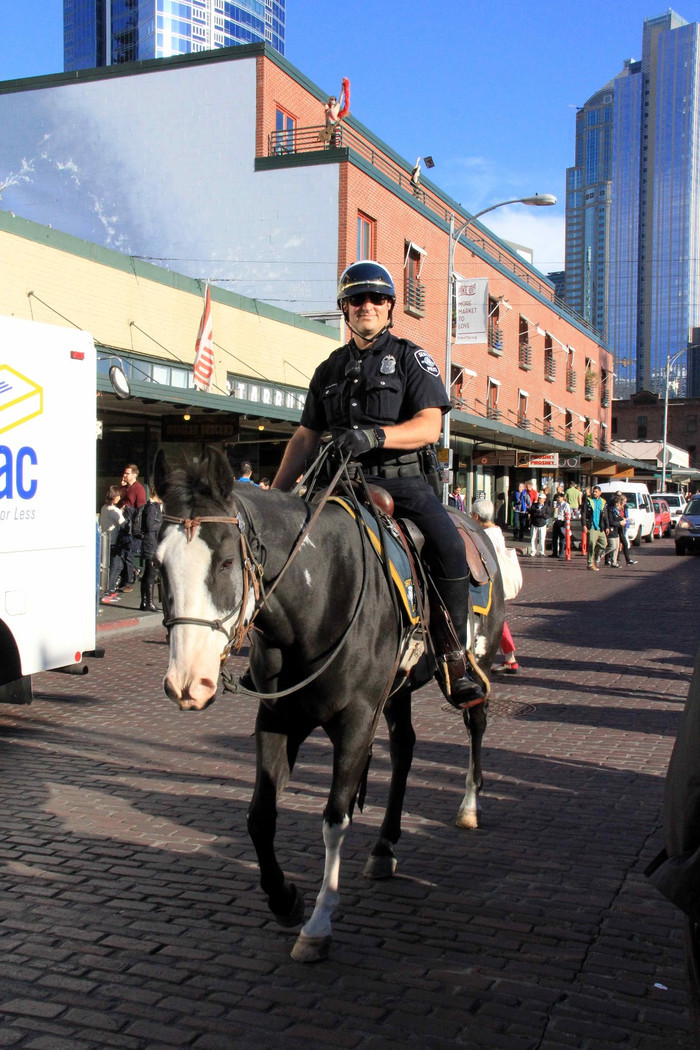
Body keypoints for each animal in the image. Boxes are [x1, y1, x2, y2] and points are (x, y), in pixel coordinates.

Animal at [154, 447, 503, 961]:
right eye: (158, 564)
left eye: (224, 562)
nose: (185, 683)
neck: (317, 597)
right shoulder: (278, 718)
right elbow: (259, 816)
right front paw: (284, 899)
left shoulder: (356, 720)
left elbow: (335, 819)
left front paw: (318, 922)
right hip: (396, 693)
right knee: (404, 749)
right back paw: (384, 847)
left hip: (480, 661)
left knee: (475, 724)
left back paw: (470, 806)